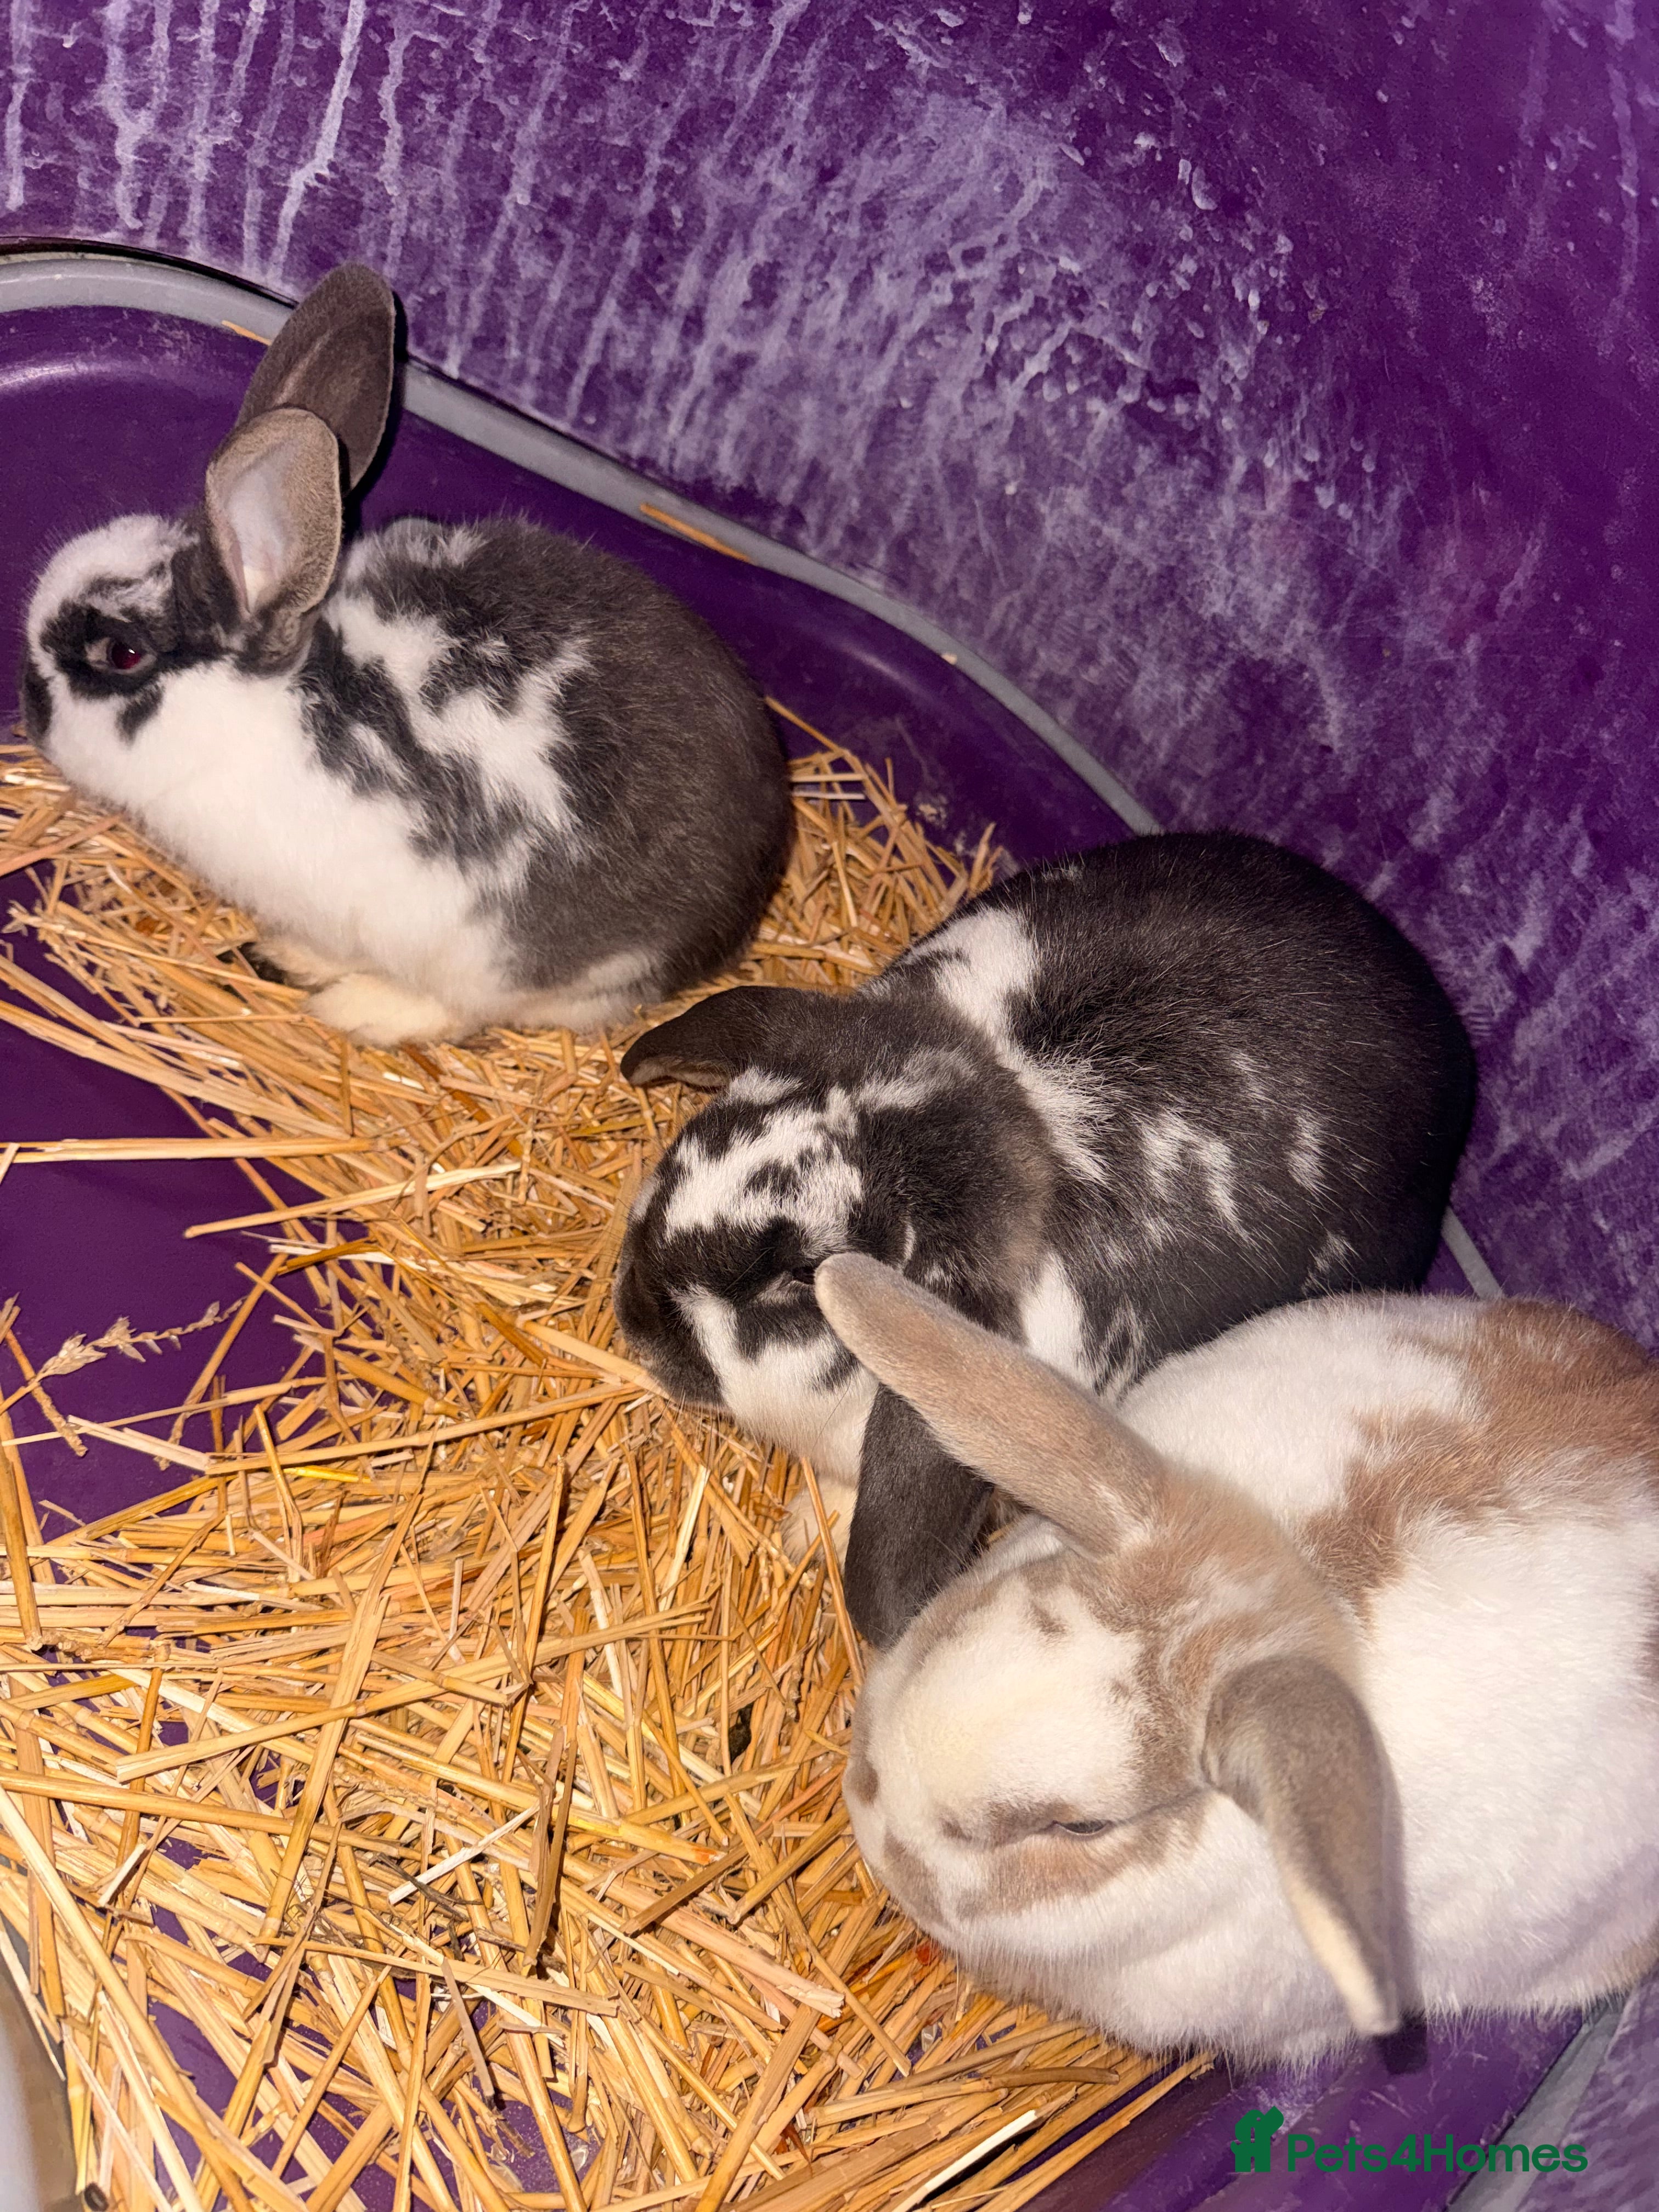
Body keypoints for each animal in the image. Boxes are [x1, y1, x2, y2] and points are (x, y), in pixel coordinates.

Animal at [17, 264, 791, 1047]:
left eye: (122, 653)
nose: (29, 702)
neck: (266, 706)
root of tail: (724, 927)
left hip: (487, 957)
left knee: (460, 1007)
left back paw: (353, 1005)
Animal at [613, 832, 1476, 1645]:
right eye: (704, 1138)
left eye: (798, 1278)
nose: (634, 1316)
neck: (990, 1106)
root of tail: (1444, 1033)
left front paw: (806, 1530)